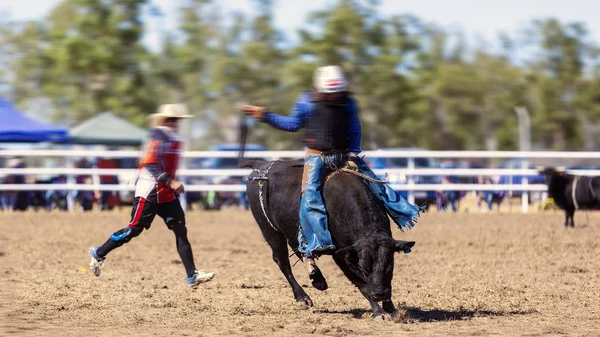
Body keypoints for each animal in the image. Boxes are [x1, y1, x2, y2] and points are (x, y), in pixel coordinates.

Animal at [241, 158, 414, 318]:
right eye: (363, 268)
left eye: (390, 265)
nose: (379, 294)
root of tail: (261, 164)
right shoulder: (342, 255)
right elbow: (361, 283)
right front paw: (379, 312)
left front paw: (391, 308)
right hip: (270, 230)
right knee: (282, 261)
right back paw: (302, 297)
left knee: (300, 250)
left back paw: (317, 278)